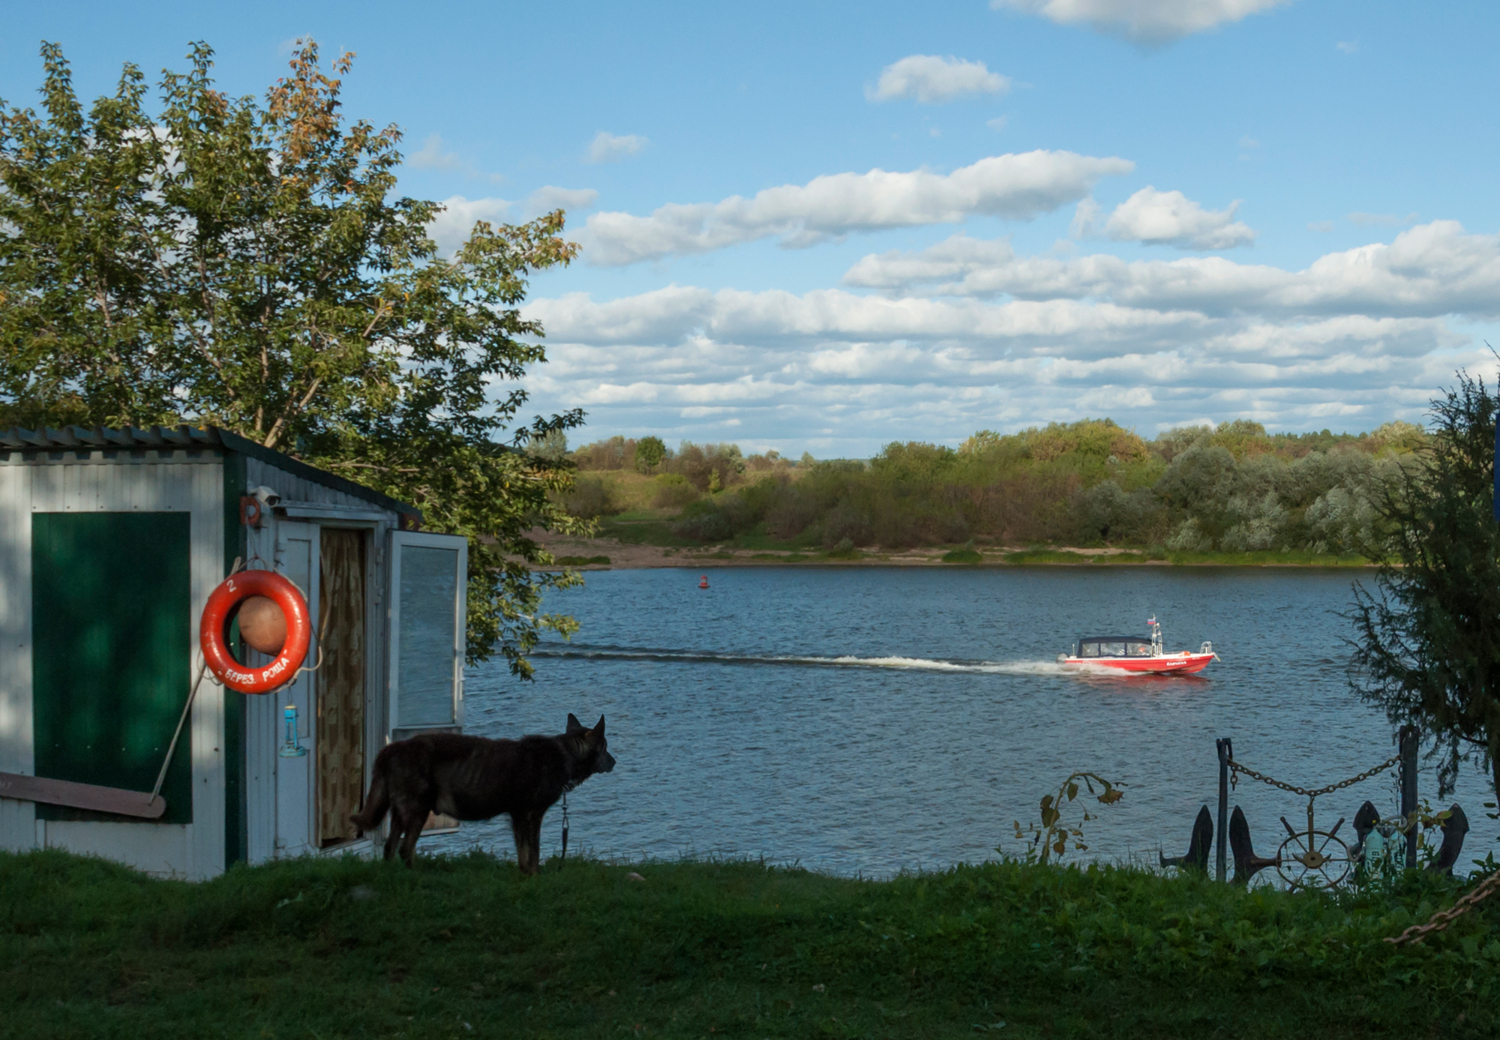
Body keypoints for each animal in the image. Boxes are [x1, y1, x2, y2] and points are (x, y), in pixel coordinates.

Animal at [351, 714, 615, 870]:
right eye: (605, 748)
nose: (615, 762)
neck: (565, 754)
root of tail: (391, 749)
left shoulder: (518, 817)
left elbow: (523, 857)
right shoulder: (531, 815)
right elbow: (533, 855)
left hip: (400, 812)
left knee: (389, 848)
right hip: (418, 810)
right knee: (405, 849)